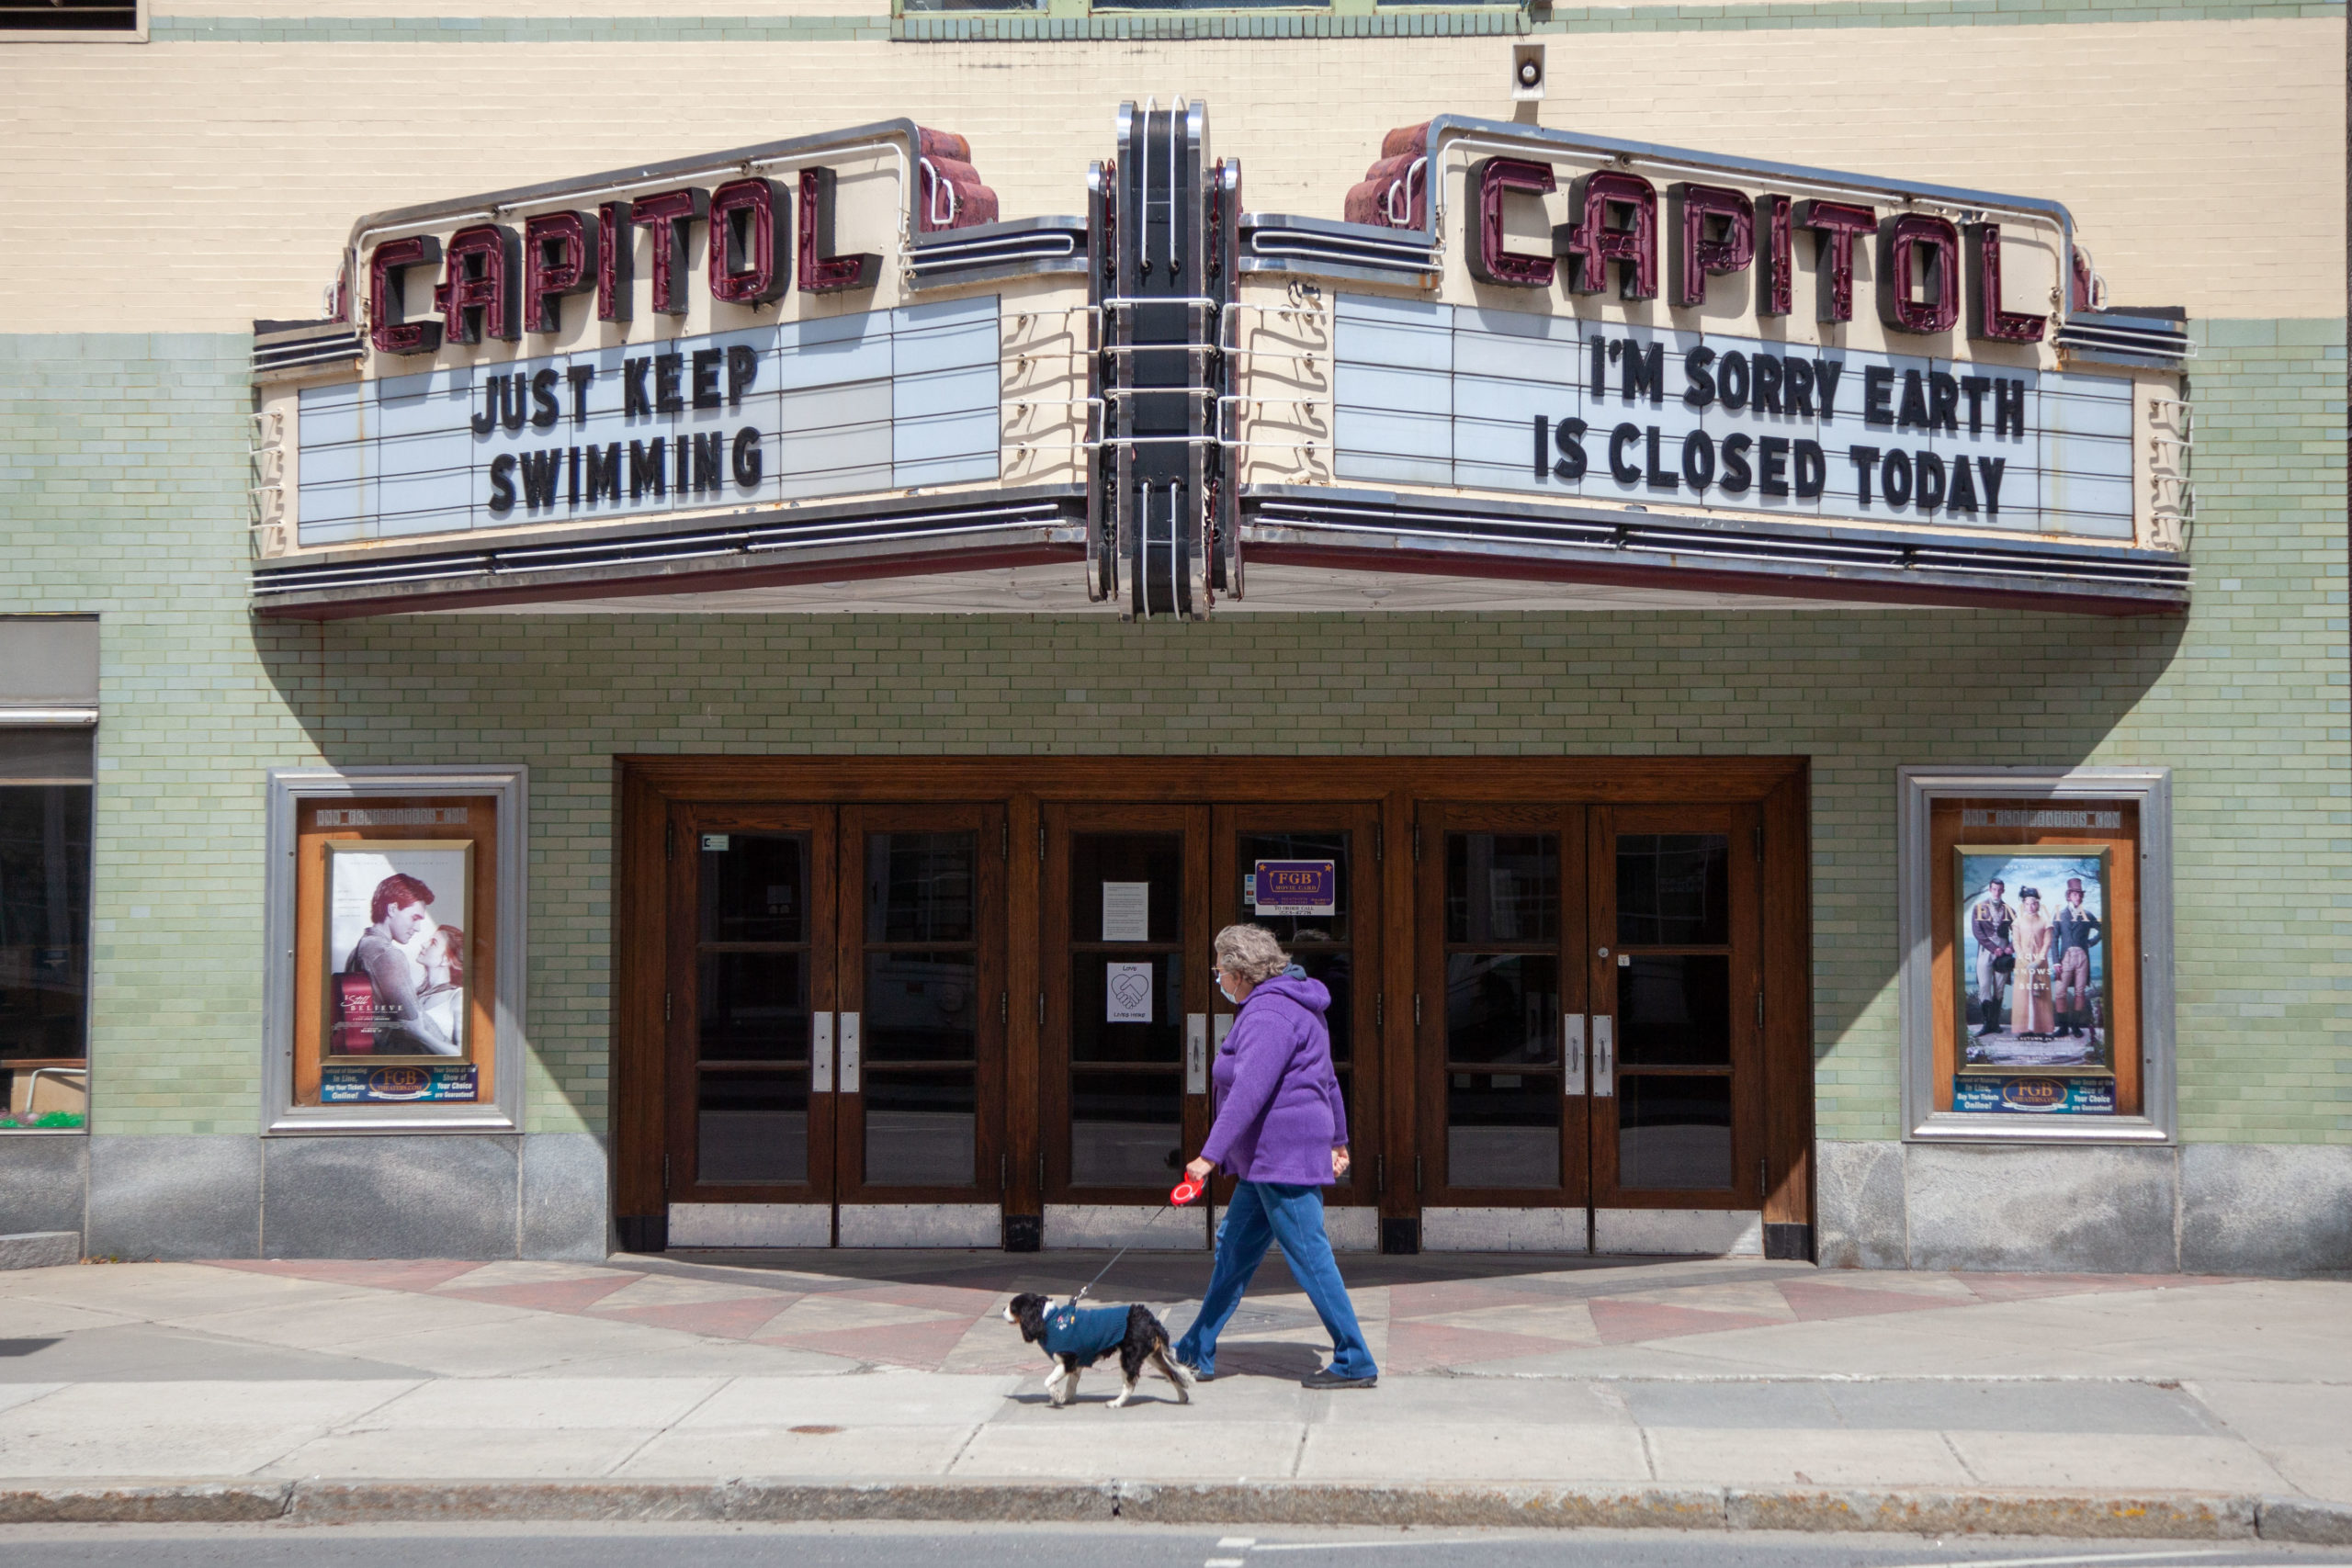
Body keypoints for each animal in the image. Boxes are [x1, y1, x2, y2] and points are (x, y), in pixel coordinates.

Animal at [1003, 1292, 1191, 1408]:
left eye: (1013, 1307)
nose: (1002, 1309)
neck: (1048, 1319)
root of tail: (1150, 1318)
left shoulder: (1067, 1361)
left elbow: (1048, 1382)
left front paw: (1057, 1396)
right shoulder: (1077, 1364)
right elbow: (1071, 1384)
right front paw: (1065, 1398)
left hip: (1129, 1357)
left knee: (1129, 1385)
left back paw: (1116, 1403)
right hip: (1154, 1356)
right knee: (1173, 1374)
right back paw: (1183, 1397)